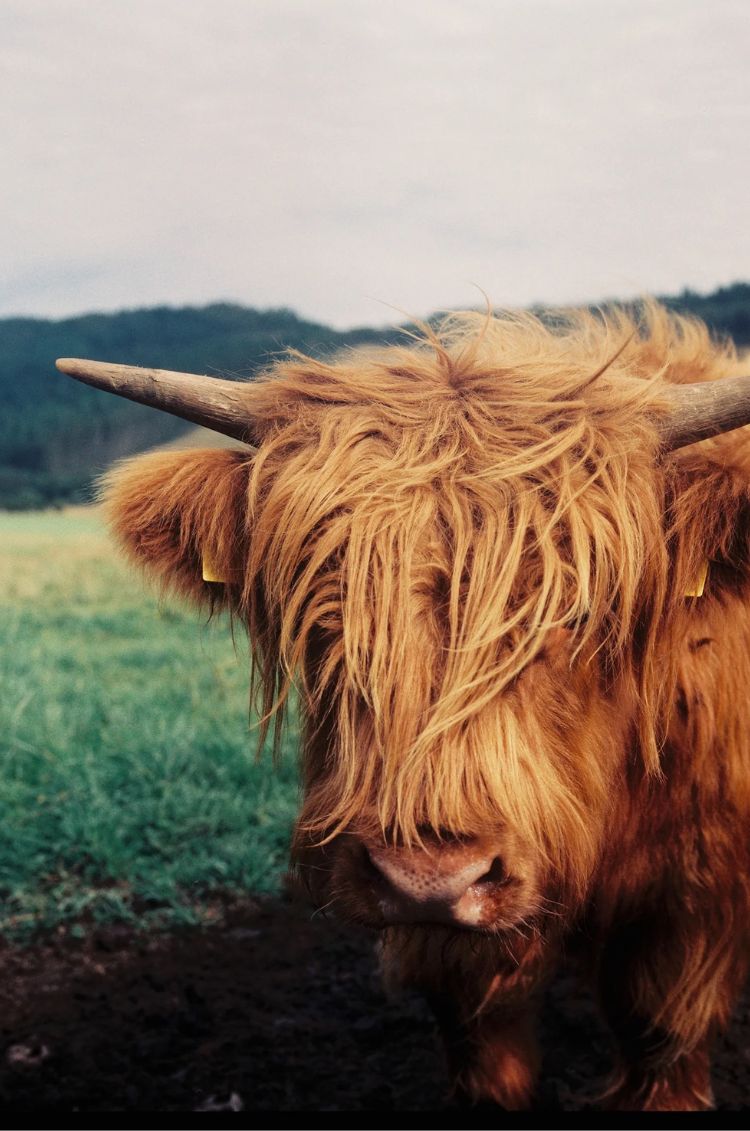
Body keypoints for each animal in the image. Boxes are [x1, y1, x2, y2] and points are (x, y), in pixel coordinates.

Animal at [57, 302, 750, 1111]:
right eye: (325, 619)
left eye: (577, 614)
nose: (430, 880)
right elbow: (483, 1053)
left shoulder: (695, 895)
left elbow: (661, 1036)